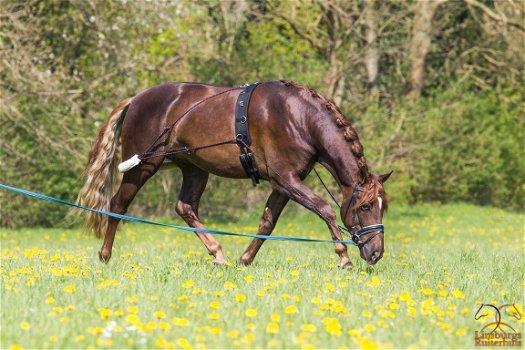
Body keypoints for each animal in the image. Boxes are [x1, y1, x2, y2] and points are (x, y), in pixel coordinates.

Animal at [77, 80, 388, 266]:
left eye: (383, 207)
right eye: (365, 206)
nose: (376, 252)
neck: (298, 117)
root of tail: (136, 99)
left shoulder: (284, 184)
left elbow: (267, 222)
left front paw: (245, 259)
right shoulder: (286, 179)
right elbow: (325, 209)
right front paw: (343, 257)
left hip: (195, 169)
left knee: (185, 207)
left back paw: (218, 253)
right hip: (143, 166)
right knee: (118, 204)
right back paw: (105, 255)